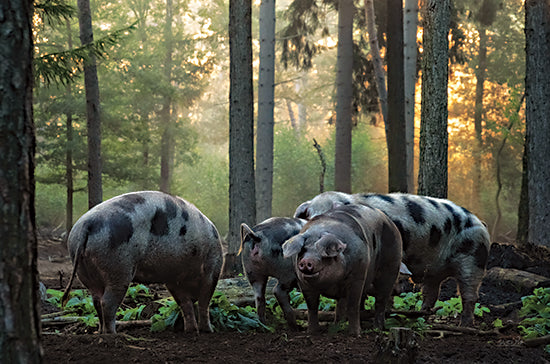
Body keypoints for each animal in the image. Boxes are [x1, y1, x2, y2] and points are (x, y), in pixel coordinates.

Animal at [61, 192, 223, 334]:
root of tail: (87, 224)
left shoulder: (173, 279)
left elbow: (186, 305)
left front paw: (191, 331)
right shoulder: (212, 269)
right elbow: (204, 302)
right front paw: (208, 331)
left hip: (85, 270)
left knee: (96, 300)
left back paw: (99, 332)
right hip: (118, 268)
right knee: (107, 302)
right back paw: (112, 334)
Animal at [282, 203, 404, 334]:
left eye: (322, 252)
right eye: (303, 250)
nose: (305, 261)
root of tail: (389, 221)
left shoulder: (358, 277)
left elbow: (353, 306)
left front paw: (355, 334)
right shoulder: (303, 283)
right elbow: (312, 306)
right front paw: (311, 332)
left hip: (392, 265)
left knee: (381, 300)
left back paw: (377, 328)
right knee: (340, 304)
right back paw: (337, 326)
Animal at [296, 191, 494, 328]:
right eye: (310, 216)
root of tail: (481, 222)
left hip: (473, 258)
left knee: (469, 294)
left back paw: (464, 325)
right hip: (435, 270)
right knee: (431, 292)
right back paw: (421, 314)